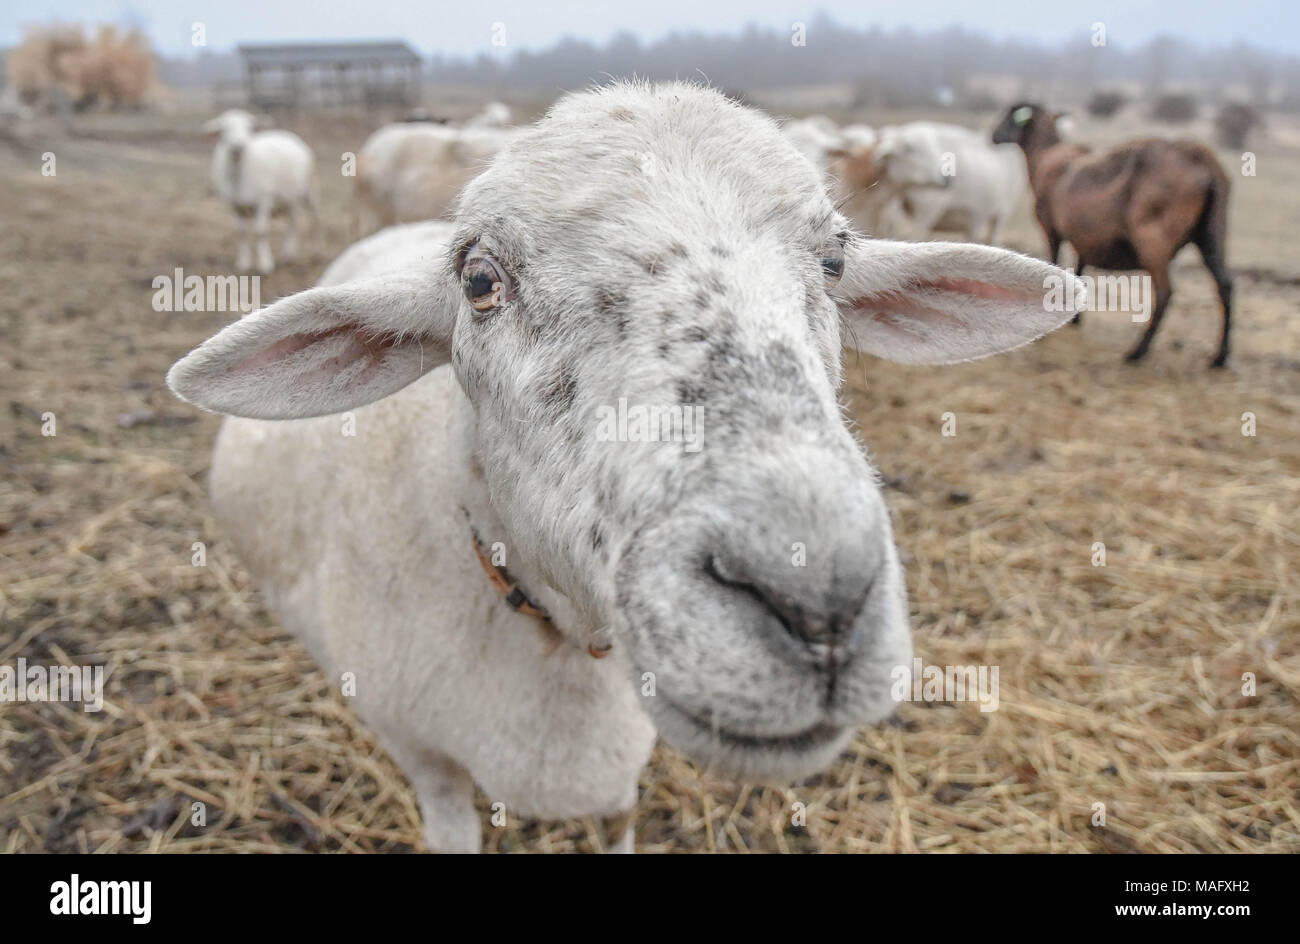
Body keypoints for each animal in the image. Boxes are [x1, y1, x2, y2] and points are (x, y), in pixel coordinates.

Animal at [208, 110, 322, 275]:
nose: (239, 145)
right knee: (293, 222)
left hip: (310, 191)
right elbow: (241, 233)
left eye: (249, 127)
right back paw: (289, 254)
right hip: (290, 199)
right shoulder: (235, 206)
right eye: (224, 128)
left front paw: (265, 264)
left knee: (315, 219)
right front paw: (244, 263)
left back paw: (316, 253)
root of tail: (289, 135)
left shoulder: (263, 201)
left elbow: (261, 231)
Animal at [987, 102, 1232, 366]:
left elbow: (1055, 265)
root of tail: (1201, 159)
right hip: (1211, 233)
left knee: (1165, 293)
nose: (994, 135)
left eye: (1011, 118)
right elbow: (1080, 271)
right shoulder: (1084, 238)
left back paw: (1138, 352)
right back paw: (1220, 357)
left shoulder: (1051, 229)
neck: (1044, 154)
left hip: (1153, 238)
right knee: (1225, 285)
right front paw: (1075, 318)